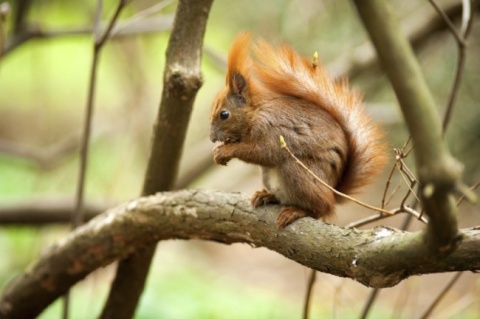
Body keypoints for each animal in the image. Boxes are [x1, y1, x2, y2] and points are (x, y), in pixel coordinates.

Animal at [209, 32, 386, 228]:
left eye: (224, 114)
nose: (211, 138)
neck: (256, 112)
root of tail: (333, 193)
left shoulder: (272, 129)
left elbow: (263, 152)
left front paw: (226, 151)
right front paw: (219, 149)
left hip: (298, 171)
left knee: (321, 209)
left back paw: (296, 211)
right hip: (269, 176)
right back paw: (267, 196)